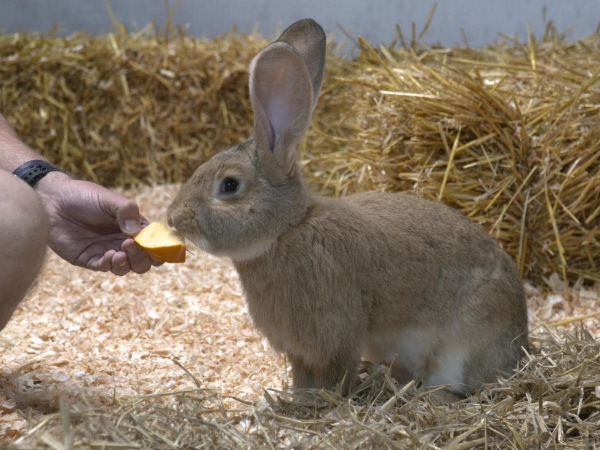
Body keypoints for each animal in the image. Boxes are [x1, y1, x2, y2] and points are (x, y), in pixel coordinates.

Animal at [166, 17, 528, 398]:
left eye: (229, 185)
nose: (174, 218)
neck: (286, 231)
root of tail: (520, 347)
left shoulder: (331, 337)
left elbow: (334, 375)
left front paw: (318, 402)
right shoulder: (297, 351)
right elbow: (303, 376)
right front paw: (298, 398)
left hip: (458, 352)